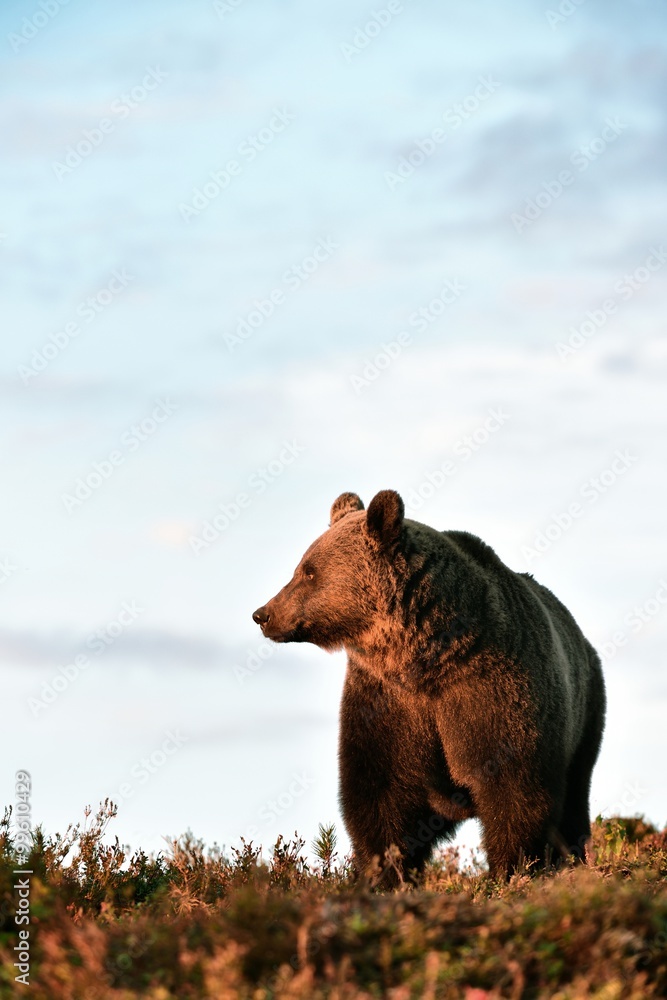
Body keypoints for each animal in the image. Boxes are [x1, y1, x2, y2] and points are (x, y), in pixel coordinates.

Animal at [253, 492, 608, 884]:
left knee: (574, 794)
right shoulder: (388, 701)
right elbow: (380, 791)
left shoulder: (489, 690)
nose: (263, 614)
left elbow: (513, 785)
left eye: (309, 571)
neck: (425, 660)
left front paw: (511, 869)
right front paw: (384, 872)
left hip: (586, 715)